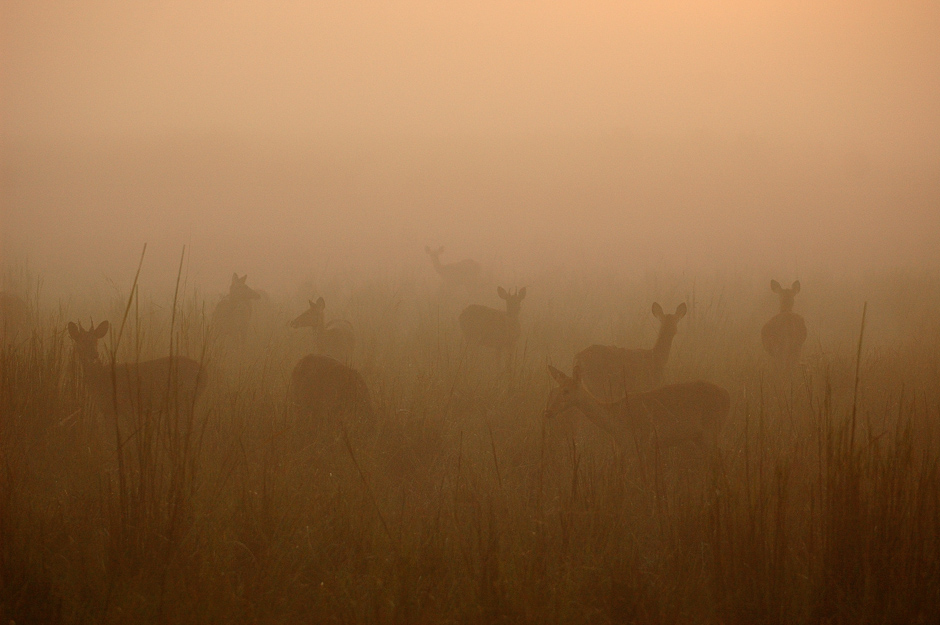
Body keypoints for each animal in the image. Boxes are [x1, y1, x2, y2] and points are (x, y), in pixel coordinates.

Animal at [67, 320, 207, 422]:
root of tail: (202, 371)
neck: (101, 378)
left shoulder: (125, 407)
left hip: (185, 397)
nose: (94, 355)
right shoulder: (108, 411)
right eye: (81, 341)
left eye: (96, 341)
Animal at [544, 364, 728, 450]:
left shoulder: (640, 444)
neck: (615, 420)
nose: (548, 411)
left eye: (566, 391)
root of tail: (727, 395)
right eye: (555, 390)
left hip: (711, 432)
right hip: (700, 438)